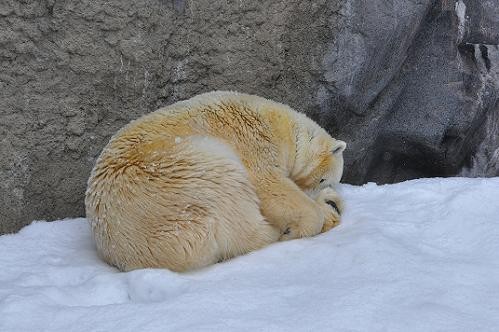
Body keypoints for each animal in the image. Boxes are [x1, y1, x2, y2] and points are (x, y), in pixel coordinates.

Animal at [85, 91, 348, 272]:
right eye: (324, 179)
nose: (328, 190)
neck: (275, 123)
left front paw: (332, 202)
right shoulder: (252, 139)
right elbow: (268, 185)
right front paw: (315, 216)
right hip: (184, 174)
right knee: (236, 211)